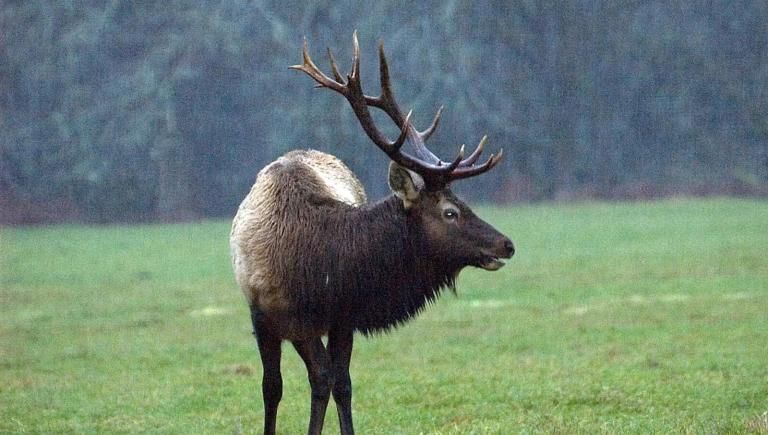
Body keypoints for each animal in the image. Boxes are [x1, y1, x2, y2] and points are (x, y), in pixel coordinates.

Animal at [230, 33, 515, 435]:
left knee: (334, 379)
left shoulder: (343, 315)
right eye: (450, 212)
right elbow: (274, 387)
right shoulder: (266, 316)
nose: (507, 244)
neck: (318, 273)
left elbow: (336, 382)